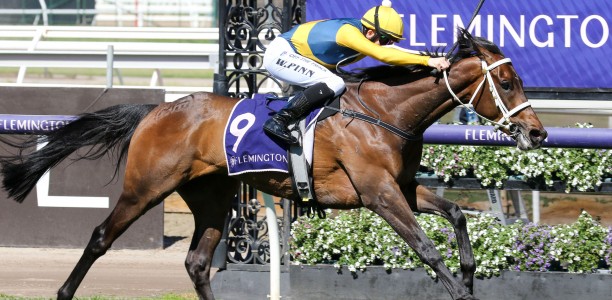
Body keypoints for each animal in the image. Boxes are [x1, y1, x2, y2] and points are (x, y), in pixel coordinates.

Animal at [0, 28, 544, 300]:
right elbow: (426, 249)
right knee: (100, 238)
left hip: (212, 196)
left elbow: (454, 216)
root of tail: (157, 109)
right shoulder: (379, 193)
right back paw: (63, 293)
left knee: (197, 262)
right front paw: (461, 292)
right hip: (146, 186)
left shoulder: (402, 186)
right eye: (508, 81)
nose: (537, 132)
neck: (384, 114)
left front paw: (470, 275)